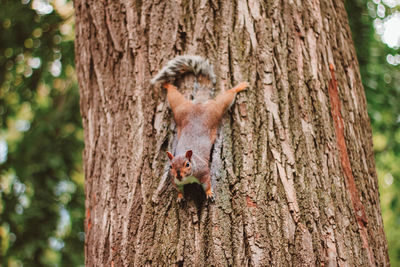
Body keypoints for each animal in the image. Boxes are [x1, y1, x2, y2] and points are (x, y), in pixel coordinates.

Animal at [152, 56, 248, 203]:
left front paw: (209, 193)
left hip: (215, 108)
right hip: (180, 108)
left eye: (187, 164)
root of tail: (199, 103)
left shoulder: (203, 171)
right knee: (173, 94)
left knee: (227, 96)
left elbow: (207, 183)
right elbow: (177, 188)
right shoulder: (174, 180)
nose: (178, 175)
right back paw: (168, 85)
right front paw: (180, 196)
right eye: (170, 166)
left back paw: (239, 86)